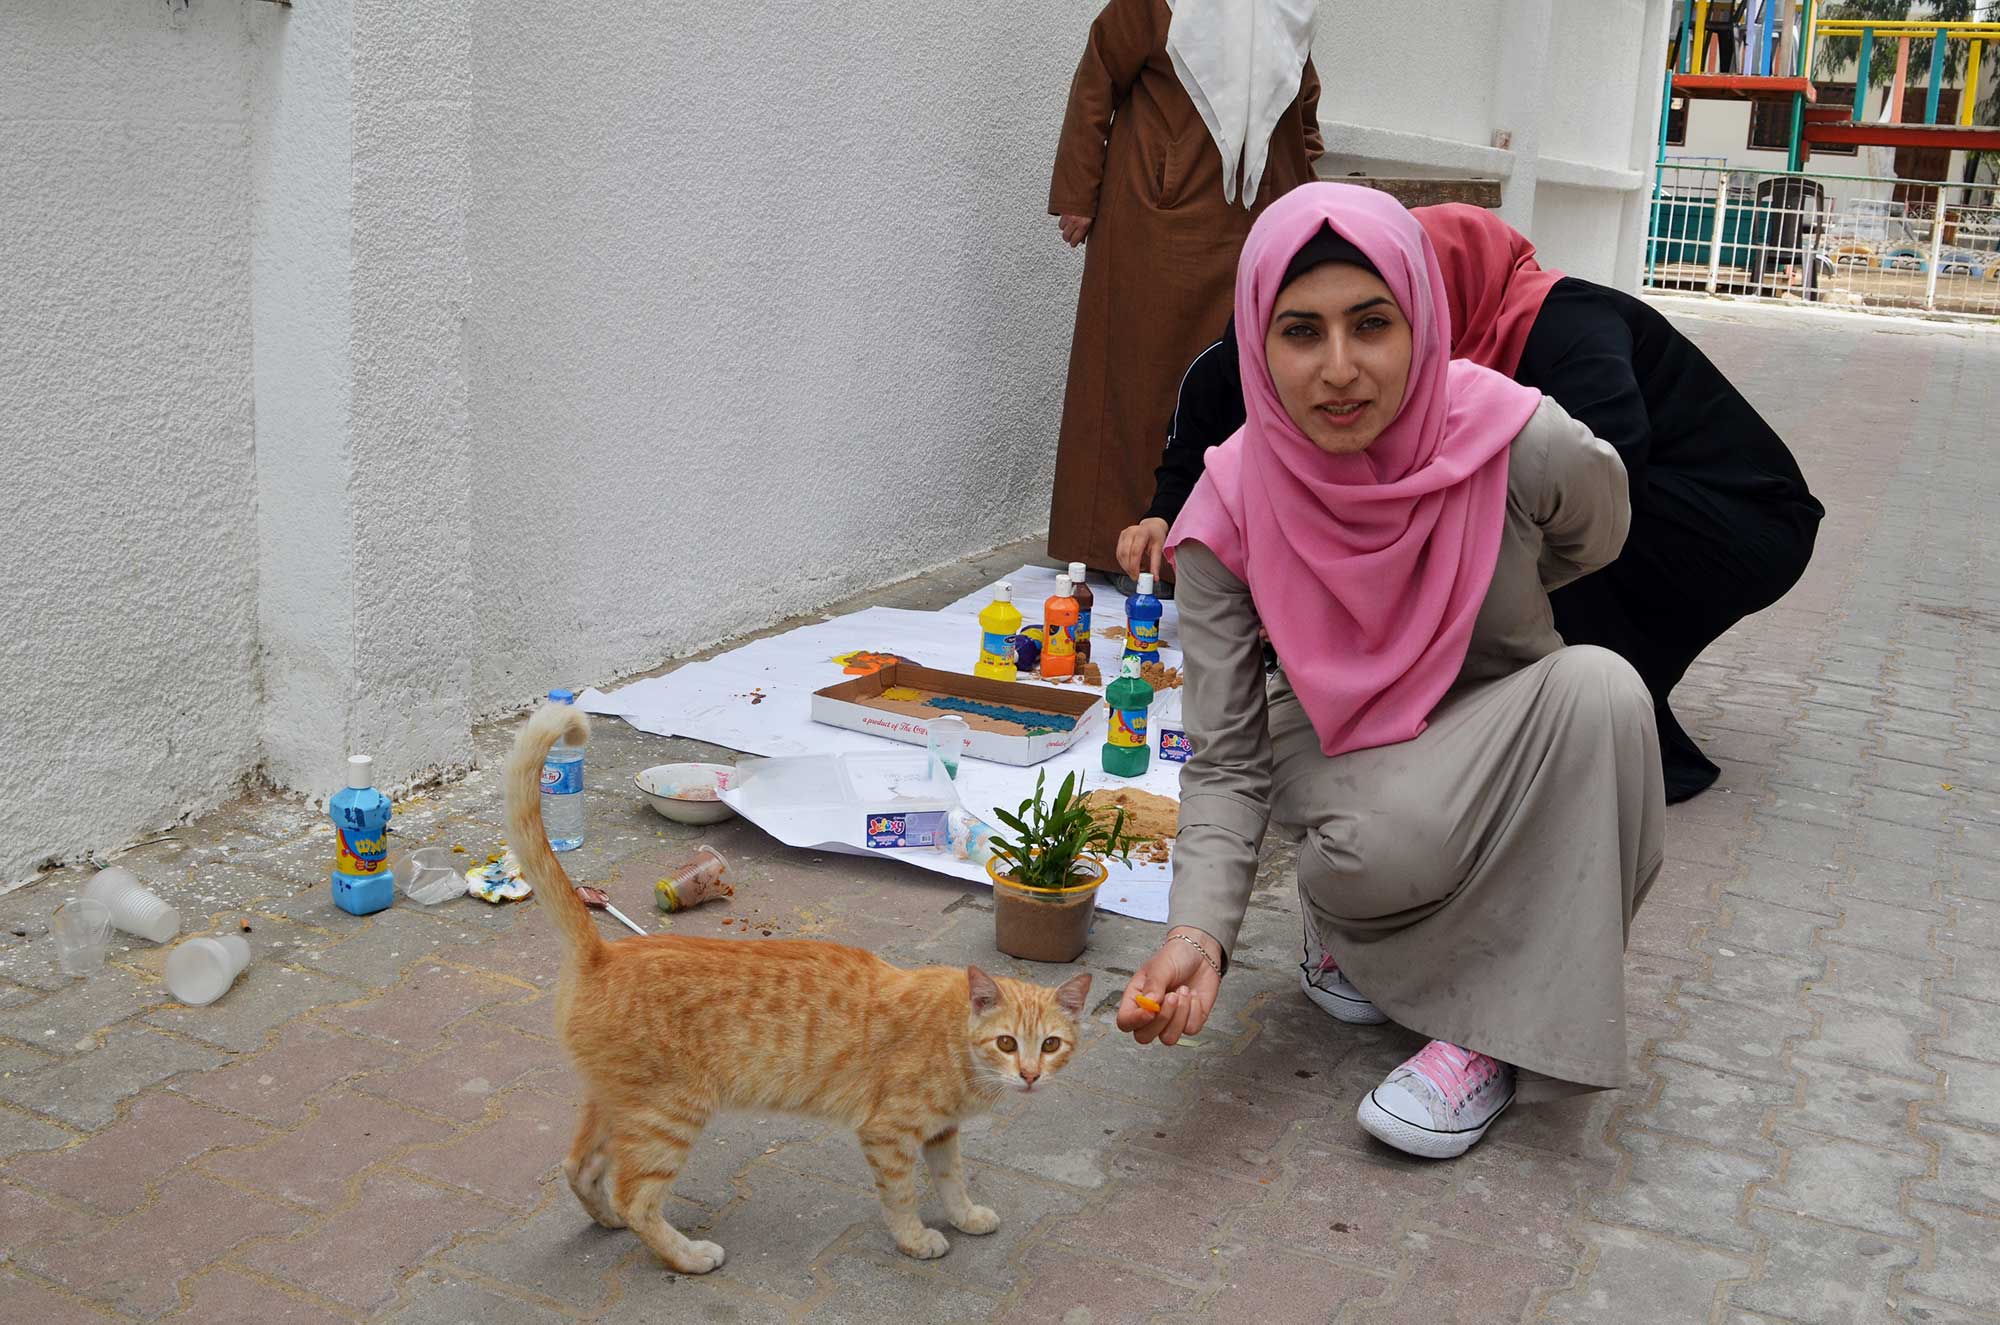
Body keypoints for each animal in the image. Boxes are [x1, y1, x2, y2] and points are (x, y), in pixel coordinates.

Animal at [508, 704, 1088, 1280]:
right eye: (1007, 1043)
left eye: (1051, 1045)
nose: (1030, 1076)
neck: (955, 1040)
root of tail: (603, 951)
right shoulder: (889, 1135)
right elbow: (901, 1196)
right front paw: (915, 1239)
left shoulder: (941, 1134)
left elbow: (952, 1180)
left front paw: (964, 1216)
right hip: (668, 1117)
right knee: (636, 1198)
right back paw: (688, 1255)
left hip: (620, 1107)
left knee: (580, 1167)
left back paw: (606, 1217)